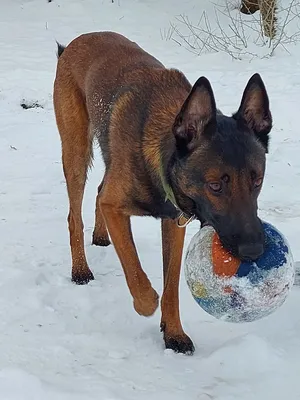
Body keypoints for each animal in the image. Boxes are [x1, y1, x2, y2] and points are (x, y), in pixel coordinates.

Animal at [53, 32, 272, 356]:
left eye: (257, 180)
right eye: (215, 185)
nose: (254, 251)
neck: (162, 155)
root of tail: (77, 41)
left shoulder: (174, 222)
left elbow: (172, 285)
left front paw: (174, 333)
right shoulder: (116, 207)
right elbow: (133, 267)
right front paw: (146, 303)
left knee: (99, 189)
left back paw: (100, 236)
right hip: (76, 152)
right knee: (74, 215)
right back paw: (80, 268)